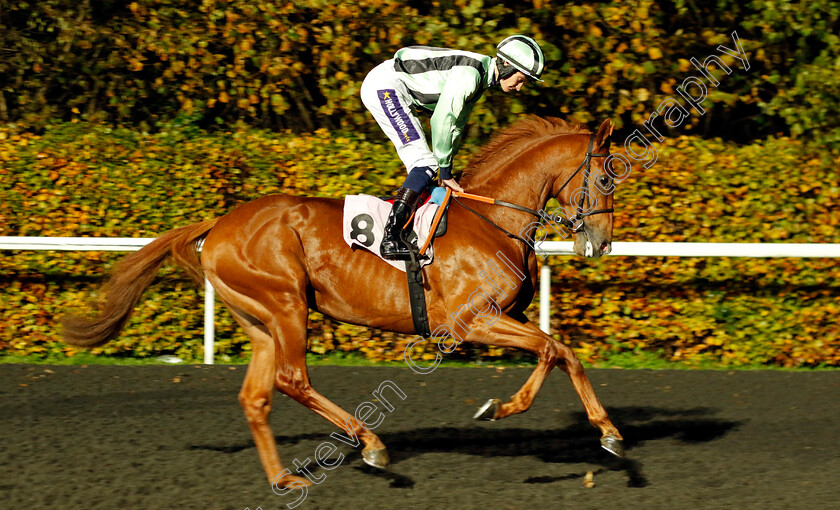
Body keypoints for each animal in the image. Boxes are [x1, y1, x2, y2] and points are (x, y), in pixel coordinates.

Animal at [62, 113, 624, 488]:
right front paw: (498, 408)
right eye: (604, 176)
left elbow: (564, 352)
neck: (492, 219)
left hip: (259, 320)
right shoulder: (470, 323)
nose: (600, 243)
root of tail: (218, 226)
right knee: (292, 379)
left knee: (257, 396)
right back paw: (371, 445)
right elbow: (550, 350)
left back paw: (283, 479)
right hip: (286, 304)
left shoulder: (508, 315)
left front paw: (609, 432)